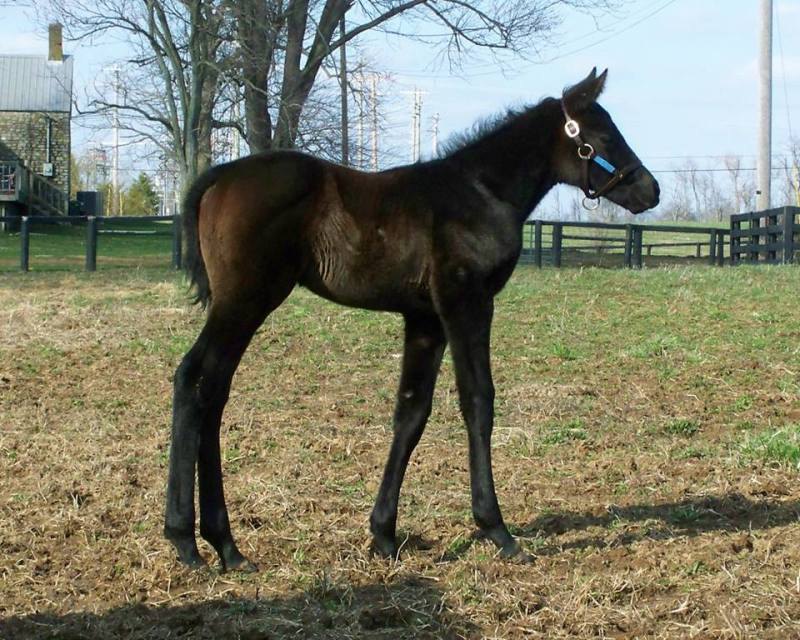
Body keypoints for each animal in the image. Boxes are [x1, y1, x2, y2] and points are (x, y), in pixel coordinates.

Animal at [166, 70, 660, 568]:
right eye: (604, 136)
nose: (650, 190)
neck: (481, 192)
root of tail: (219, 176)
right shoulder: (467, 302)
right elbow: (478, 401)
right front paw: (497, 529)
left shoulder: (425, 319)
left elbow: (411, 411)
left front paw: (384, 534)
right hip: (245, 302)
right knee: (196, 380)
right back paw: (190, 539)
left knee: (212, 389)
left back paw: (222, 544)